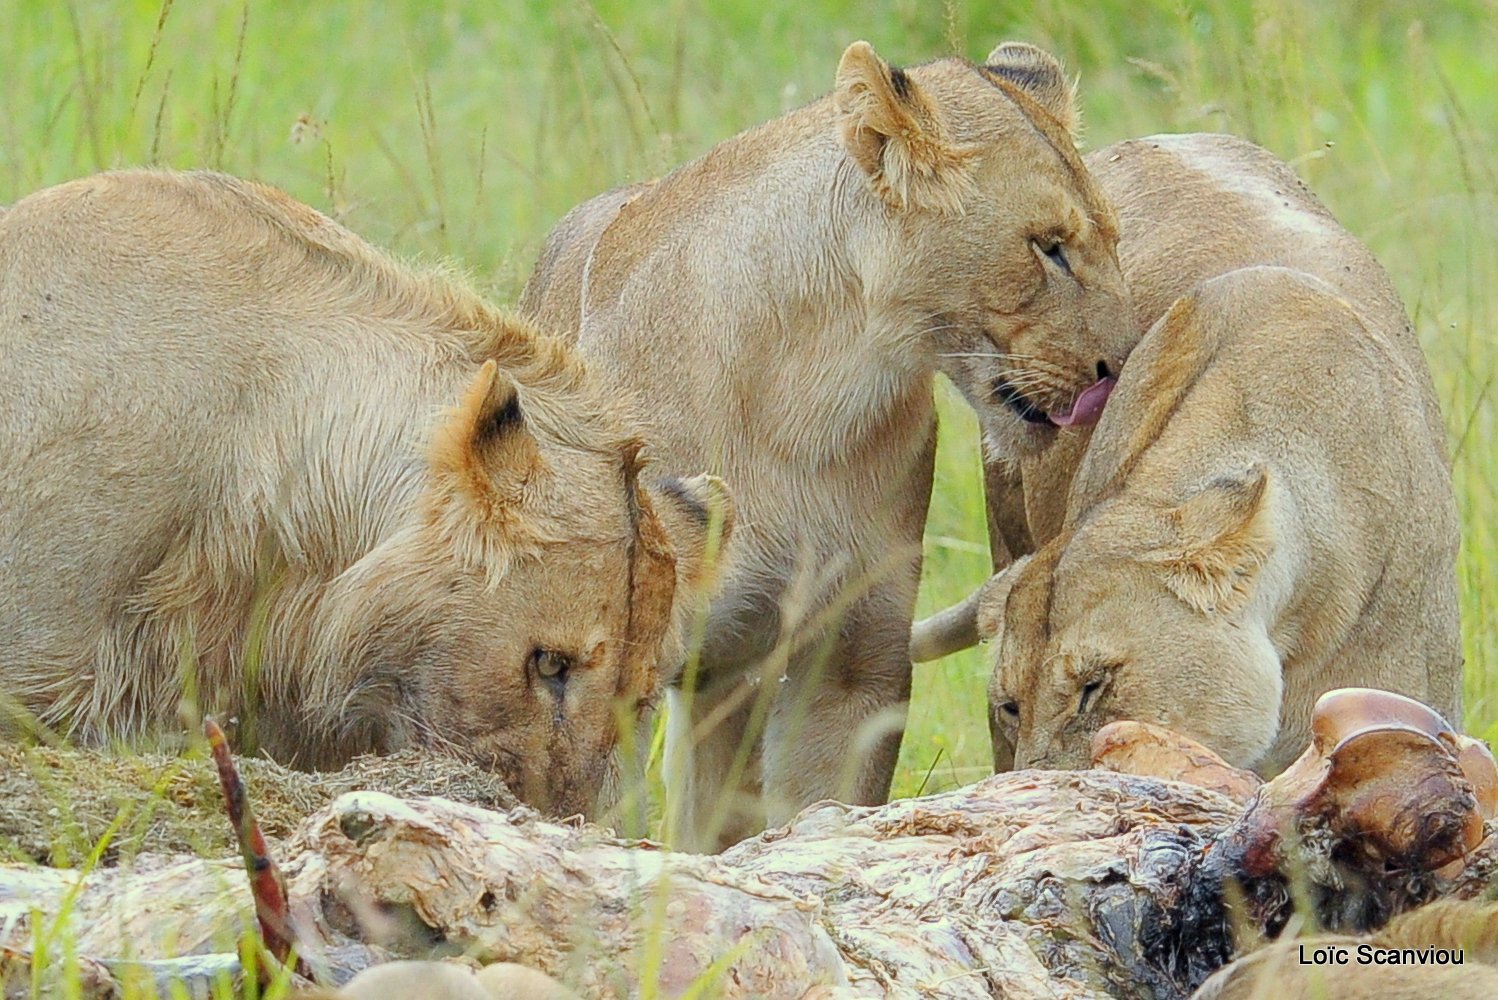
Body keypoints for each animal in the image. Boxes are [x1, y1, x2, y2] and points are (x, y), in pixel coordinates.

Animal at [521, 43, 1126, 850]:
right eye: (1049, 249)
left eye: (1114, 241)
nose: (1123, 365)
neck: (815, 395)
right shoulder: (634, 664)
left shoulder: (852, 654)